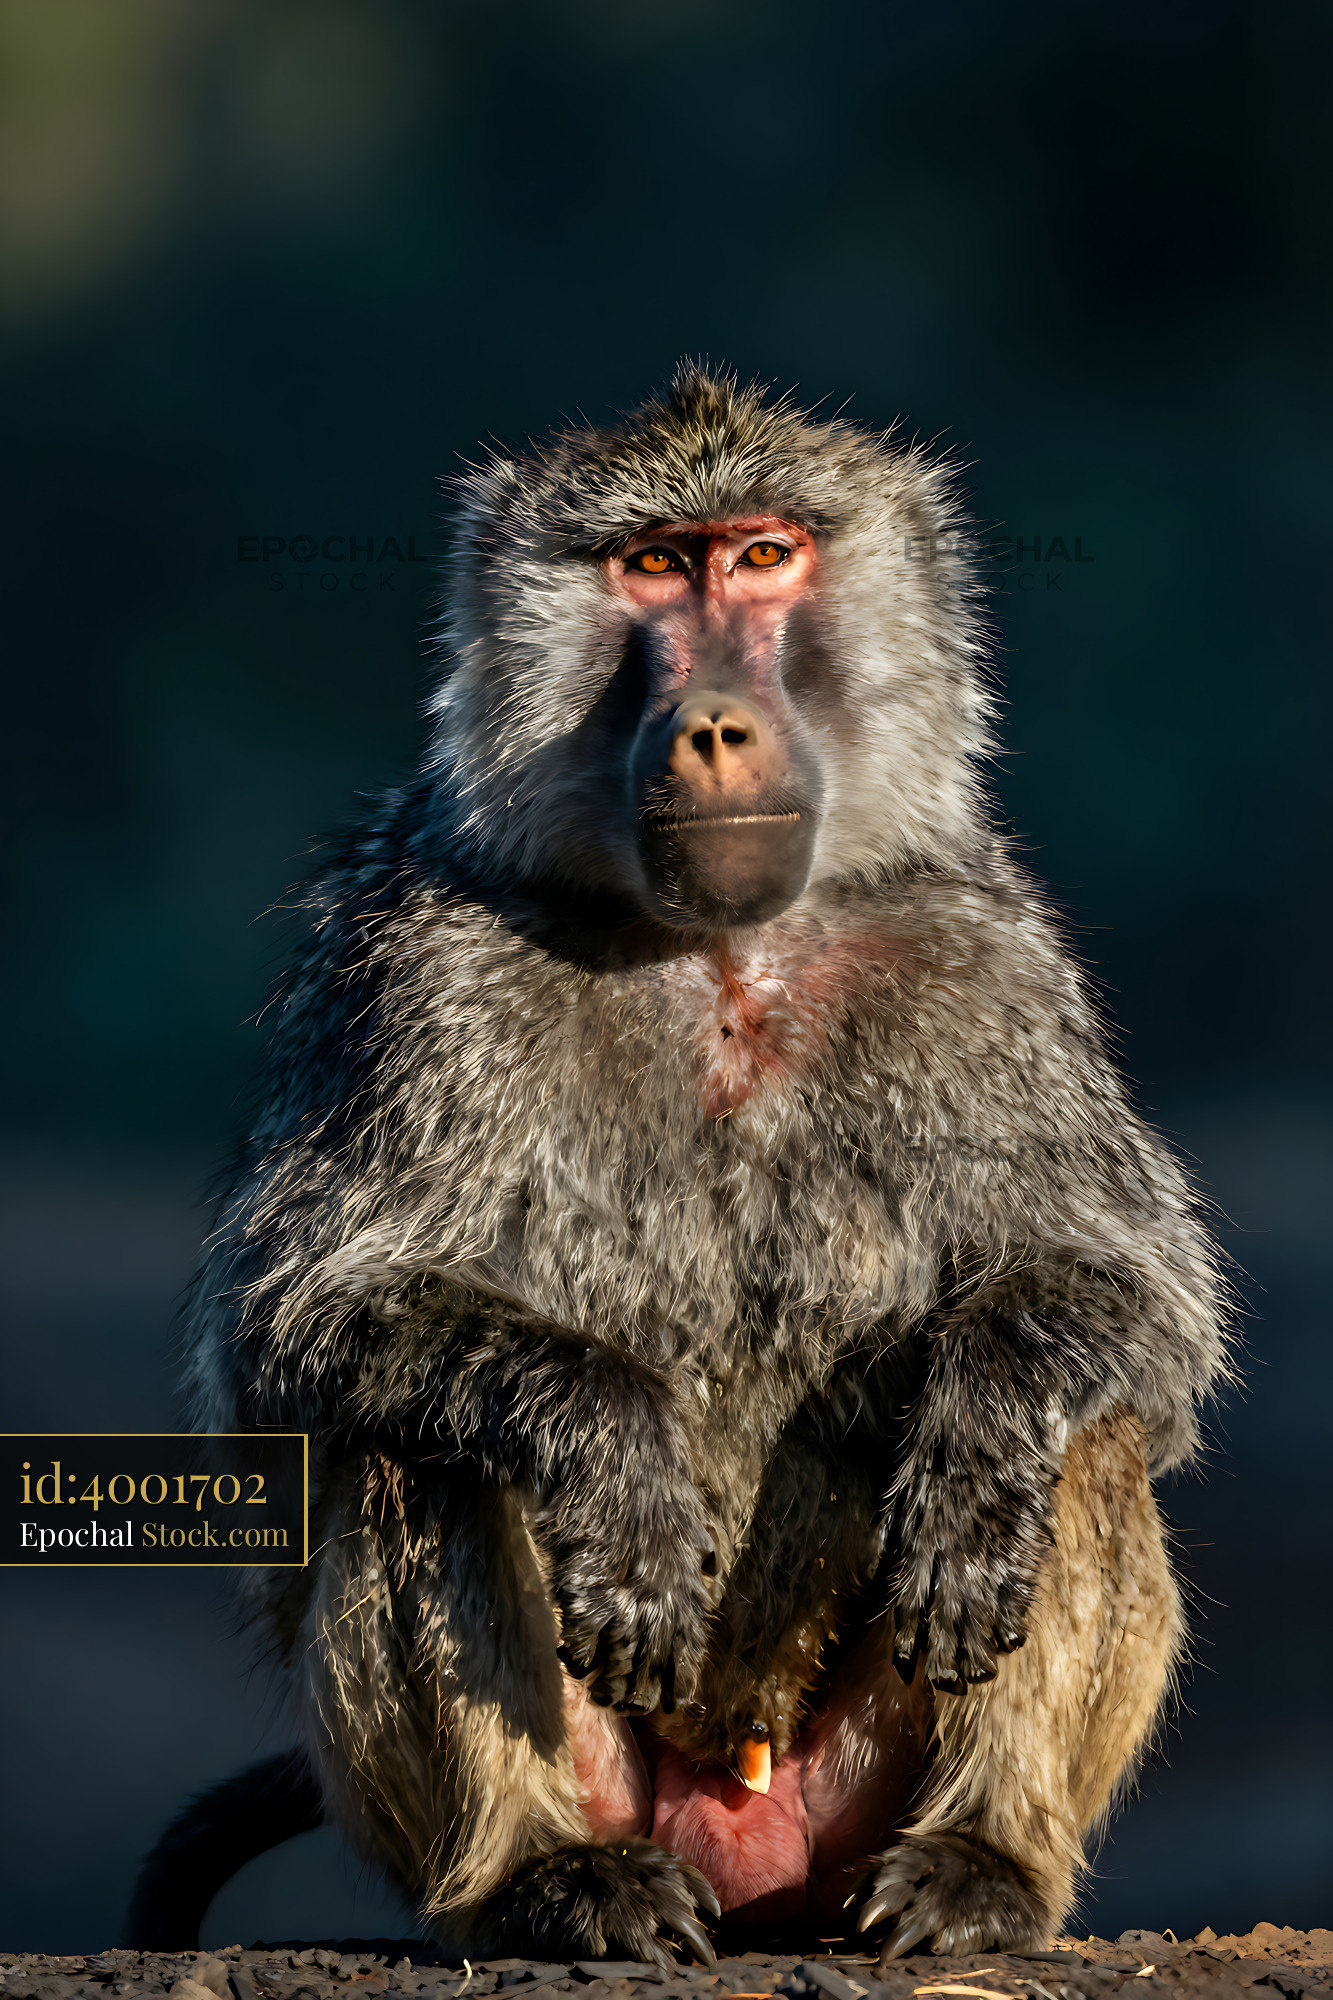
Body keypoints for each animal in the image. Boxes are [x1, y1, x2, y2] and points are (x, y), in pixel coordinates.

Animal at [129, 364, 1227, 1965]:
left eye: (763, 557)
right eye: (651, 565)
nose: (712, 725)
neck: (720, 951)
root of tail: (742, 1825)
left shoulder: (990, 963)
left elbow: (1130, 1302)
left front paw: (972, 1462)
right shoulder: (410, 972)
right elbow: (295, 1334)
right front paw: (617, 1462)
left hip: (851, 1789)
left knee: (1088, 1433)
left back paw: (981, 1860)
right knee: (419, 1442)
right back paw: (545, 1875)